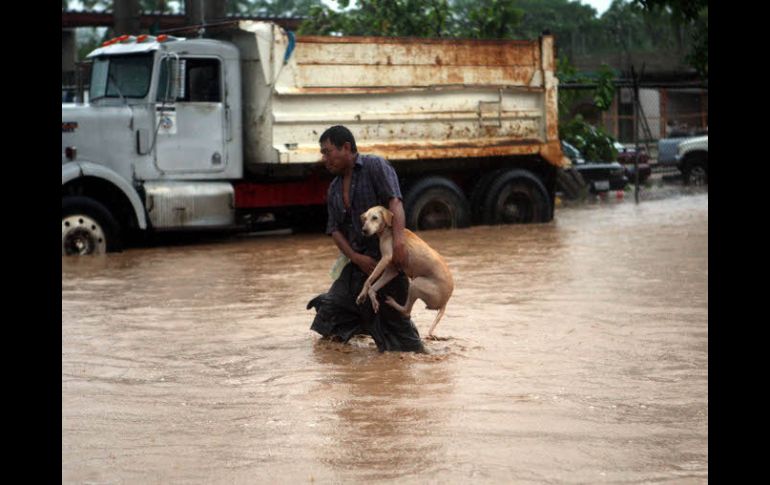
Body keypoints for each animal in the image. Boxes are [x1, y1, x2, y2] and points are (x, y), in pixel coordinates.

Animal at [356, 203, 452, 336]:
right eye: (365, 218)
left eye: (375, 218)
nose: (364, 230)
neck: (388, 230)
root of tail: (445, 302)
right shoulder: (392, 270)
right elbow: (373, 287)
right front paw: (370, 299)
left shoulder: (386, 258)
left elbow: (368, 280)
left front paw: (362, 293)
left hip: (416, 284)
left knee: (407, 311)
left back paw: (393, 303)